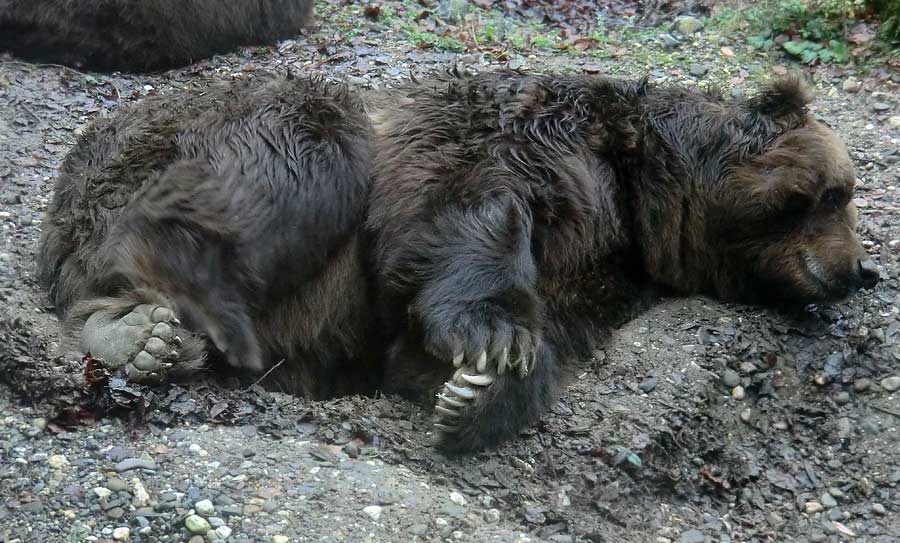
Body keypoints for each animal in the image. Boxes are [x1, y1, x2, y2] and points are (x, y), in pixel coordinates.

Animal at [37, 68, 880, 454]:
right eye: (837, 193)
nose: (856, 271)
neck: (645, 194)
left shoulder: (606, 275)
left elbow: (537, 335)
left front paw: (473, 392)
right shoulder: (523, 135)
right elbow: (468, 205)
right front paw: (491, 336)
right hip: (205, 132)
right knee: (292, 160)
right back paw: (136, 326)